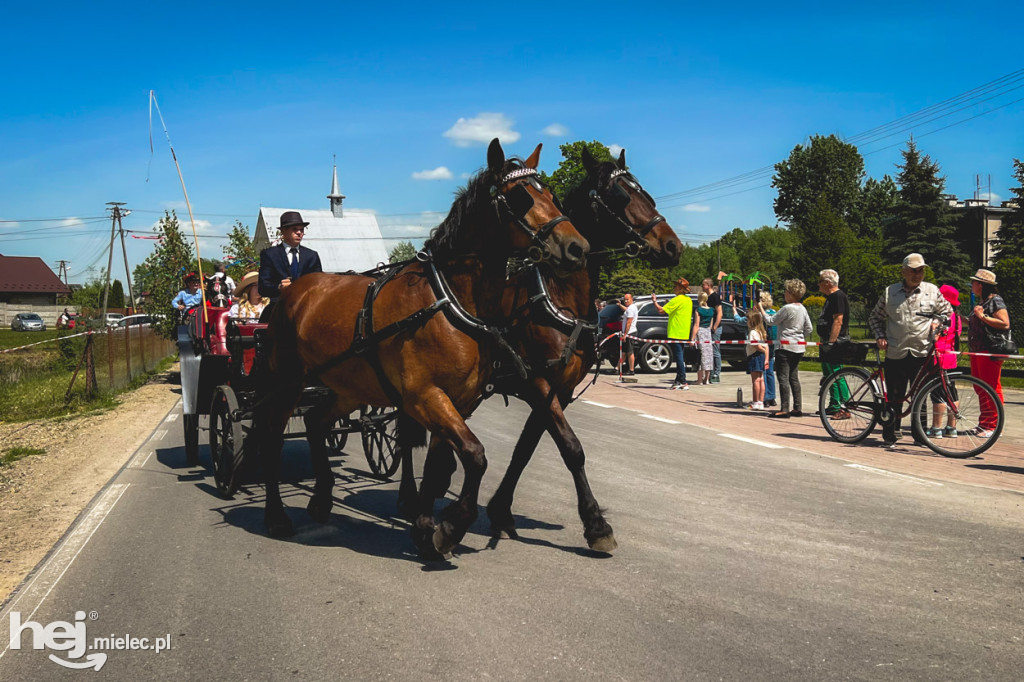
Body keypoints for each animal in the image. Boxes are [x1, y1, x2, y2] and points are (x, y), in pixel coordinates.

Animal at [256, 139, 593, 557]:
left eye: (550, 194)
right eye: (519, 197)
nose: (577, 247)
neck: (449, 298)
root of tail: (295, 290)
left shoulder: (457, 400)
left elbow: (440, 466)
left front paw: (425, 527)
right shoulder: (425, 396)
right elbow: (475, 456)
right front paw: (451, 525)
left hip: (348, 387)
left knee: (318, 421)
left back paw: (321, 499)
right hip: (287, 382)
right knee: (272, 435)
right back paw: (276, 515)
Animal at [411, 146, 684, 548]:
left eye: (645, 193)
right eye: (621, 195)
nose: (672, 246)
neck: (556, 296)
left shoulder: (560, 389)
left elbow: (527, 447)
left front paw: (501, 511)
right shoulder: (537, 383)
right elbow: (571, 448)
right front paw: (596, 524)